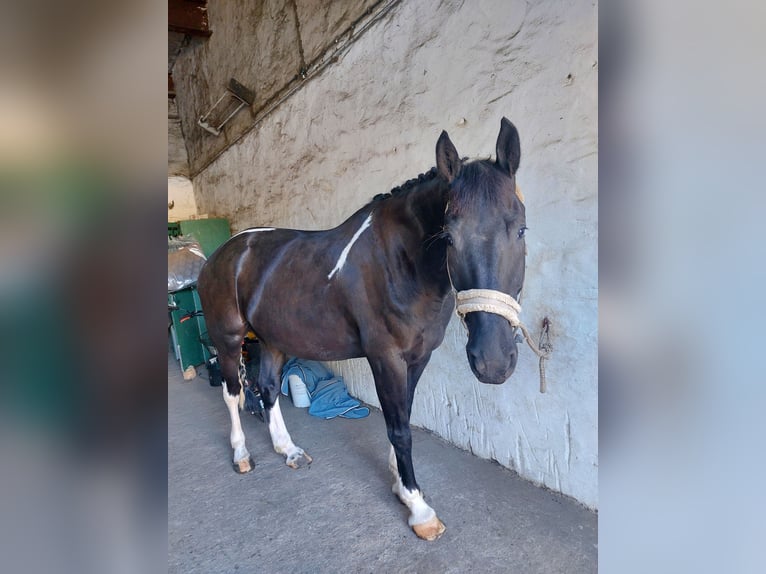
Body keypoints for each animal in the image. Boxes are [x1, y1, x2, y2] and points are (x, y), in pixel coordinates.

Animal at [198, 119, 528, 544]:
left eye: (521, 230)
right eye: (449, 237)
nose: (493, 361)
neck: (401, 262)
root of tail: (222, 254)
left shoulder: (418, 357)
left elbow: (404, 416)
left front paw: (400, 484)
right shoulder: (385, 358)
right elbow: (399, 428)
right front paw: (418, 508)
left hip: (273, 339)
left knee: (268, 389)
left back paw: (288, 450)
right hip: (228, 339)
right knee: (233, 393)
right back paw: (241, 455)